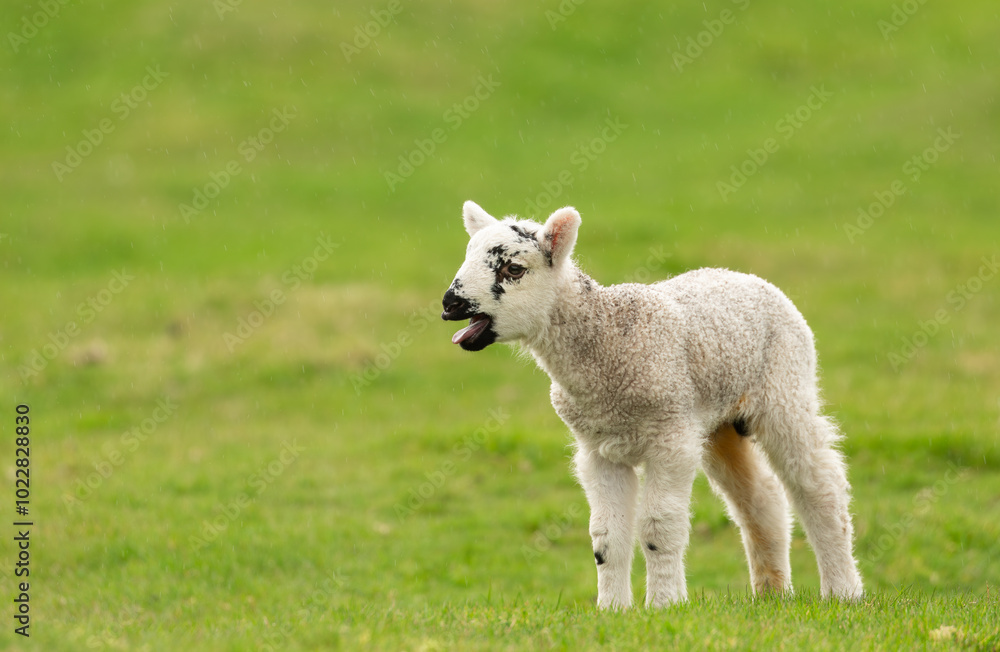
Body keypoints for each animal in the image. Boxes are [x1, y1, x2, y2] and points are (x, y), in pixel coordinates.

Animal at [441, 200, 864, 609]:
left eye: (513, 268)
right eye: (466, 256)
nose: (450, 304)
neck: (606, 340)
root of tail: (747, 277)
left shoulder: (670, 437)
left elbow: (659, 528)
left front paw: (665, 604)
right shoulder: (600, 448)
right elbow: (605, 538)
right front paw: (612, 610)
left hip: (785, 387)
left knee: (820, 486)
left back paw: (843, 591)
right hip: (718, 422)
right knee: (761, 497)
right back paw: (772, 593)